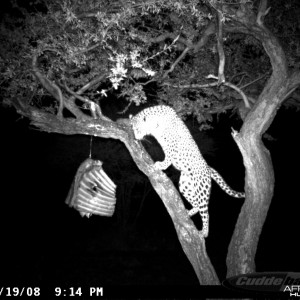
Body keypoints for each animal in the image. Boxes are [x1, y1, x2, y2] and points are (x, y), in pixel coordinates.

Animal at [130, 104, 245, 238]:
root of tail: (208, 168)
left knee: (205, 211)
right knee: (196, 205)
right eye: (133, 129)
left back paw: (204, 232)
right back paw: (189, 212)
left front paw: (161, 165)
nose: (135, 137)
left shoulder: (172, 144)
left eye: (137, 129)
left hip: (201, 189)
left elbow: (168, 156)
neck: (156, 122)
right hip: (185, 185)